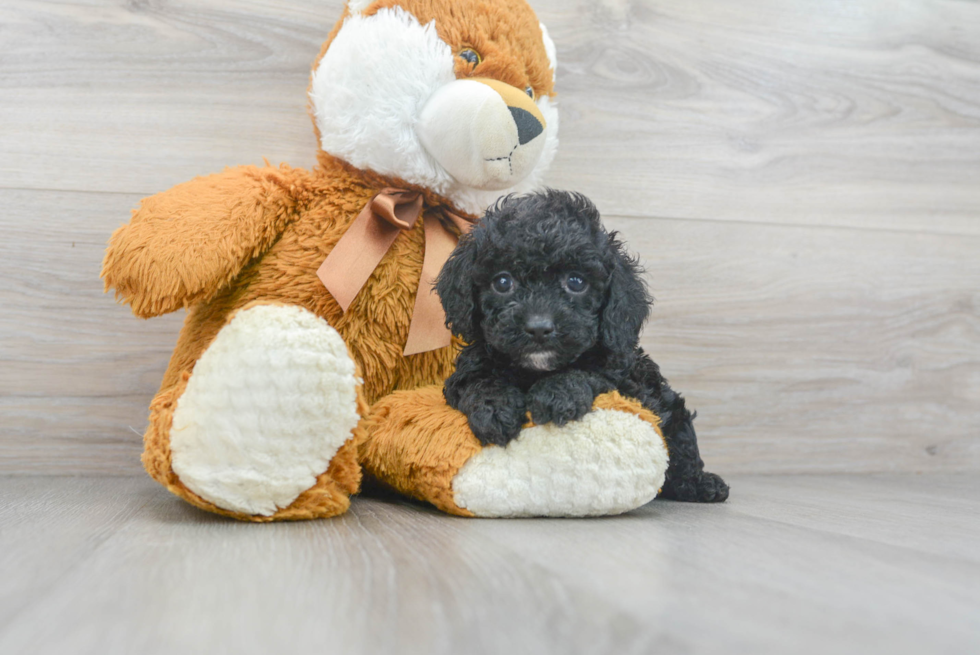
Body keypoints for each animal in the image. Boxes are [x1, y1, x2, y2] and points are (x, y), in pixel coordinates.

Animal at [436, 190, 728, 502]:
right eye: (503, 282)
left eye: (576, 282)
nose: (539, 327)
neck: (535, 370)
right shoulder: (467, 370)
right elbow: (479, 381)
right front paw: (494, 410)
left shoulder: (622, 374)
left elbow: (588, 372)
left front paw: (556, 394)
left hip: (671, 411)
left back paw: (703, 484)